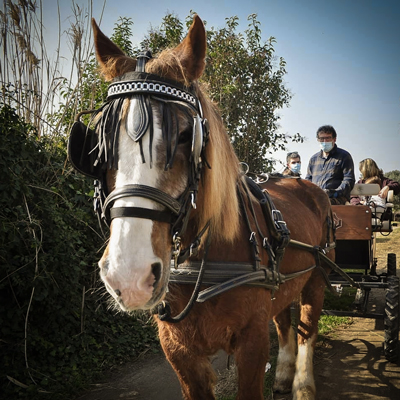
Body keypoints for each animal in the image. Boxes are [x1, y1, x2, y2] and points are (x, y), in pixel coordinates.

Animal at [68, 14, 334, 400]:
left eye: (184, 136)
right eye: (99, 145)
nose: (129, 276)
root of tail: (302, 182)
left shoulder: (252, 344)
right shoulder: (179, 351)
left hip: (316, 277)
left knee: (306, 331)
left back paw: (302, 384)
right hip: (285, 283)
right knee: (285, 322)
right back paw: (284, 376)